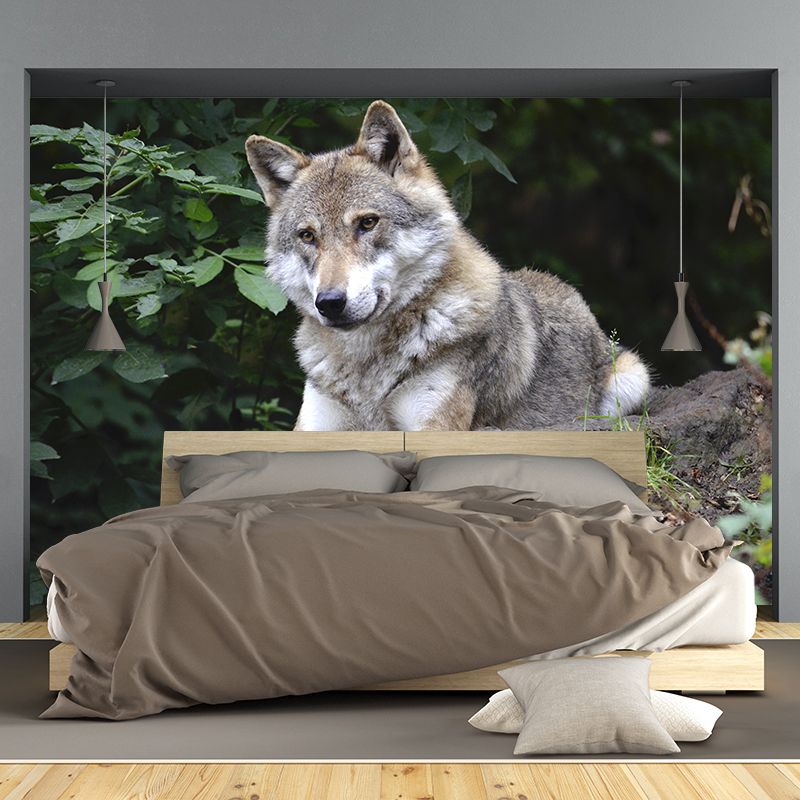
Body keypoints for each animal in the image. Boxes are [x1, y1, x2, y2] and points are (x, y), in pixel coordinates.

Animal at [245, 101, 649, 431]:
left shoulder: (435, 425)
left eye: (367, 223)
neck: (367, 370)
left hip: (633, 379)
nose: (329, 303)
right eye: (308, 236)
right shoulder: (313, 427)